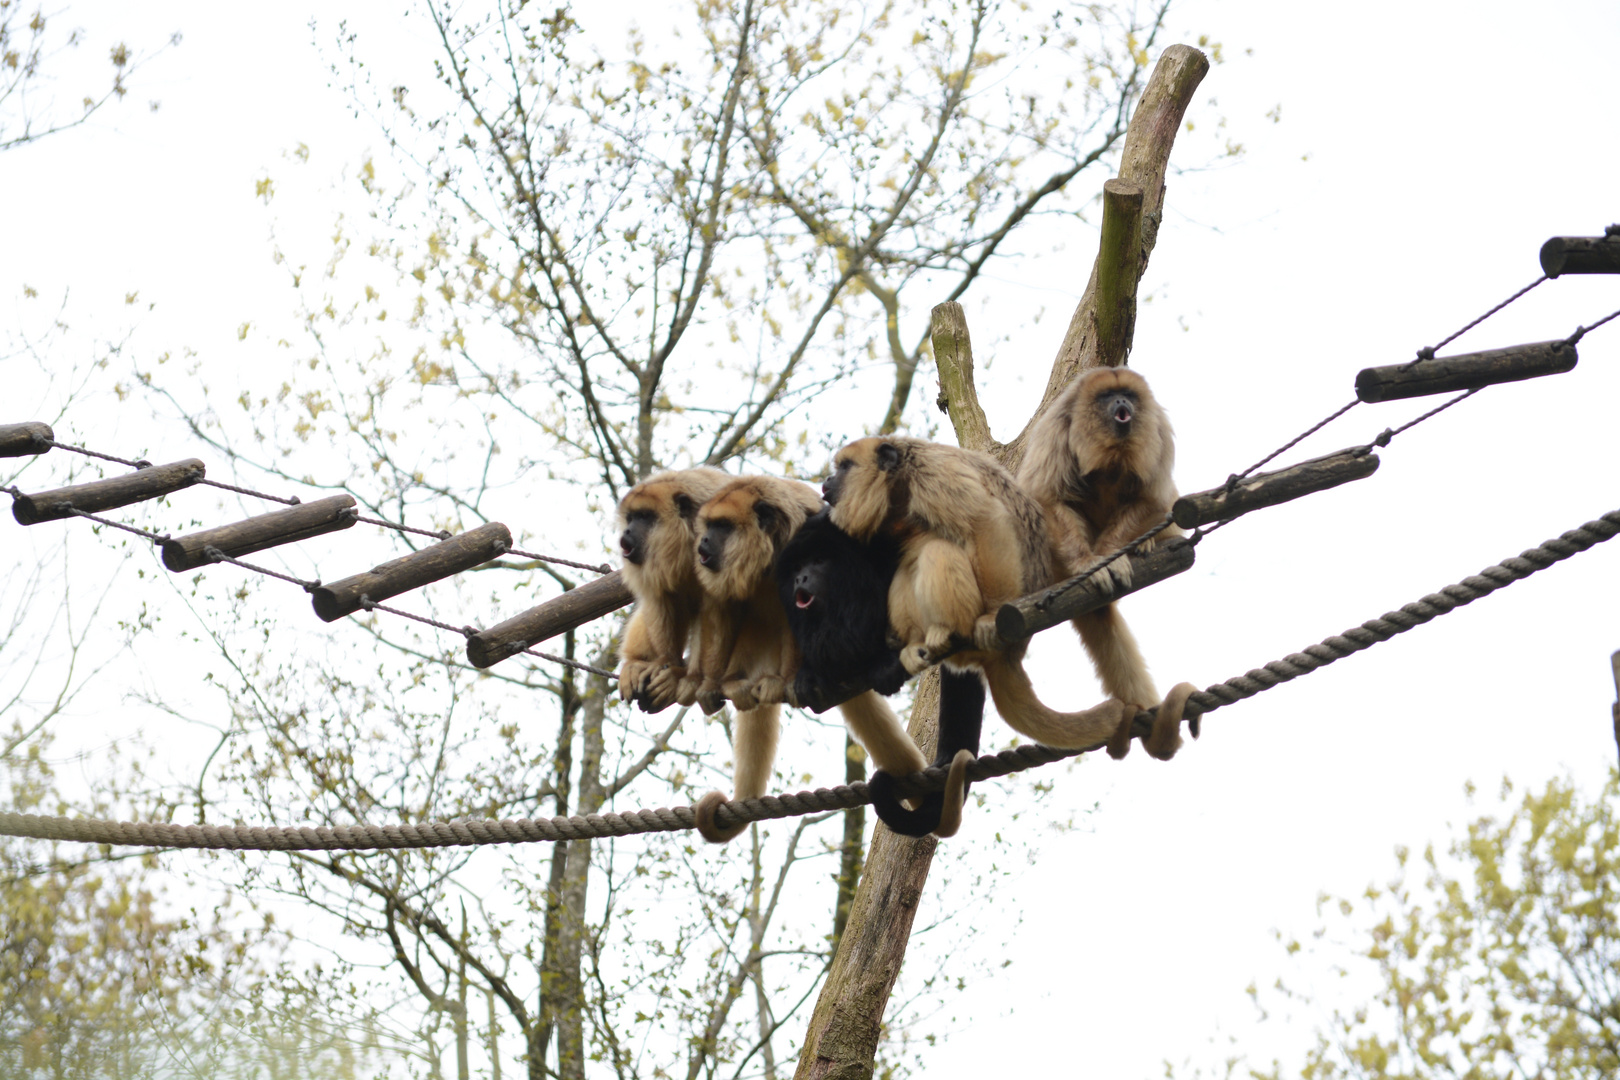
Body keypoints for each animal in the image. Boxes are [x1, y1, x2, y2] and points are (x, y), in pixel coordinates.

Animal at [612, 469, 729, 712]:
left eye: (645, 516)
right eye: (631, 518)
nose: (626, 530)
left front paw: (682, 677)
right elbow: (660, 597)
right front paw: (665, 663)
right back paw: (636, 663)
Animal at [816, 433, 1134, 757]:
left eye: (845, 466)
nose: (827, 479)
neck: (898, 487)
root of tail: (1011, 653)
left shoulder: (935, 476)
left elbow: (986, 521)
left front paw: (991, 617)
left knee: (937, 550)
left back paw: (946, 629)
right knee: (910, 564)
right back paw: (916, 643)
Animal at [1023, 367, 1205, 764]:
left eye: (1129, 396)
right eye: (1108, 396)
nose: (1122, 402)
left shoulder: (1158, 429)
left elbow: (1153, 497)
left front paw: (1112, 557)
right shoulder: (1057, 426)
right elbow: (1047, 494)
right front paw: (1090, 564)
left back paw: (1149, 543)